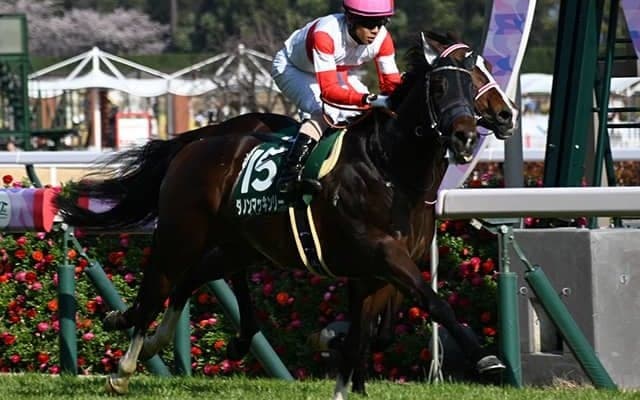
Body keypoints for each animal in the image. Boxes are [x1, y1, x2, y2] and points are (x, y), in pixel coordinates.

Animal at [55, 34, 506, 399]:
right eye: (440, 86)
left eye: (472, 84)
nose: (469, 134)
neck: (390, 169)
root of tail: (196, 143)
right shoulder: (382, 254)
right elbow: (433, 303)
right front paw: (487, 359)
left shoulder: (380, 267)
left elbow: (373, 333)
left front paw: (338, 359)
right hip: (181, 234)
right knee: (156, 289)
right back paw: (125, 365)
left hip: (241, 245)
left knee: (193, 278)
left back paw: (156, 336)